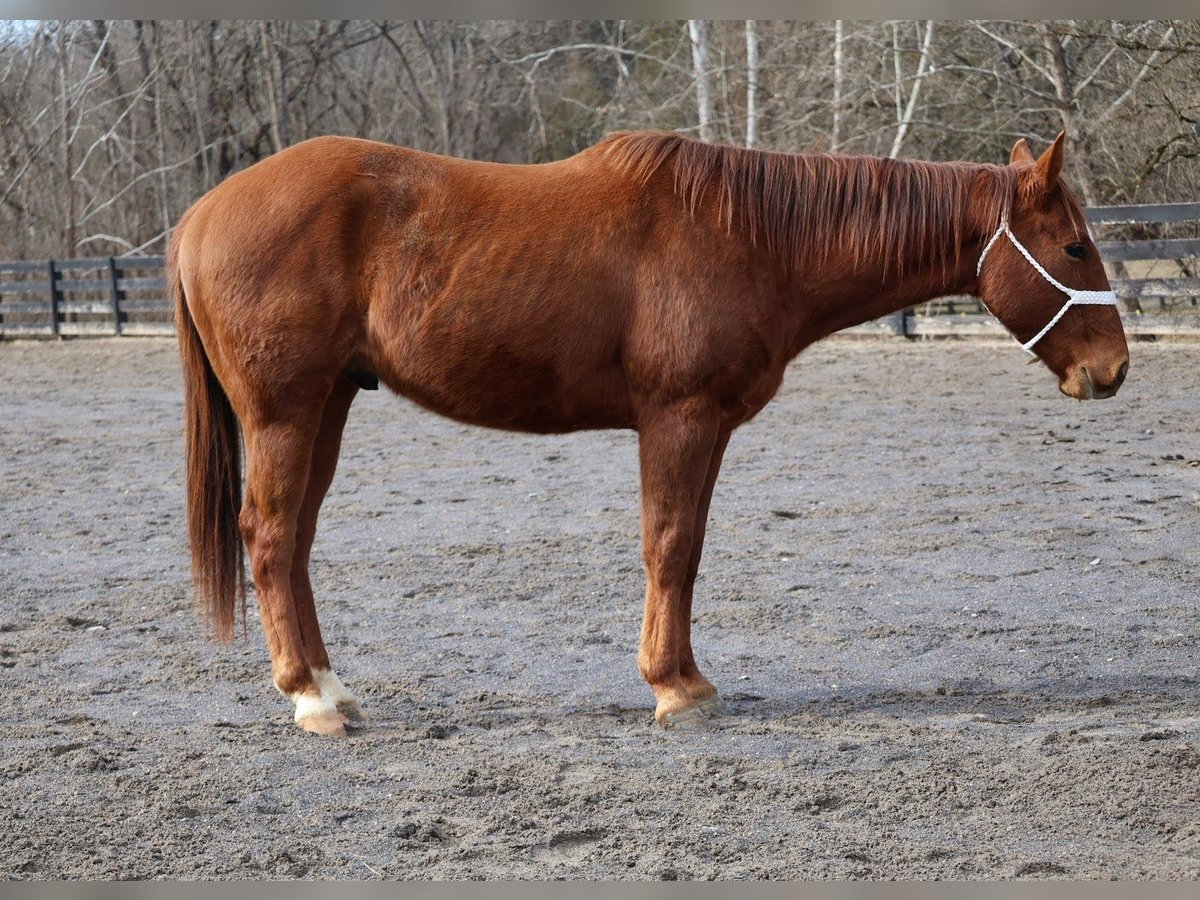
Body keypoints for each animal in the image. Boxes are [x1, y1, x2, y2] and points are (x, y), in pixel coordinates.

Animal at [170, 130, 1129, 736]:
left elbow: (689, 546)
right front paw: (675, 691)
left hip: (329, 405)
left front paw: (687, 679)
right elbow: (669, 545)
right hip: (286, 413)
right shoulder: (679, 418)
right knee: (269, 538)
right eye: (1075, 248)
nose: (1113, 369)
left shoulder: (704, 428)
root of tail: (201, 215)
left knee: (294, 543)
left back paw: (334, 689)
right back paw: (312, 702)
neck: (753, 238)